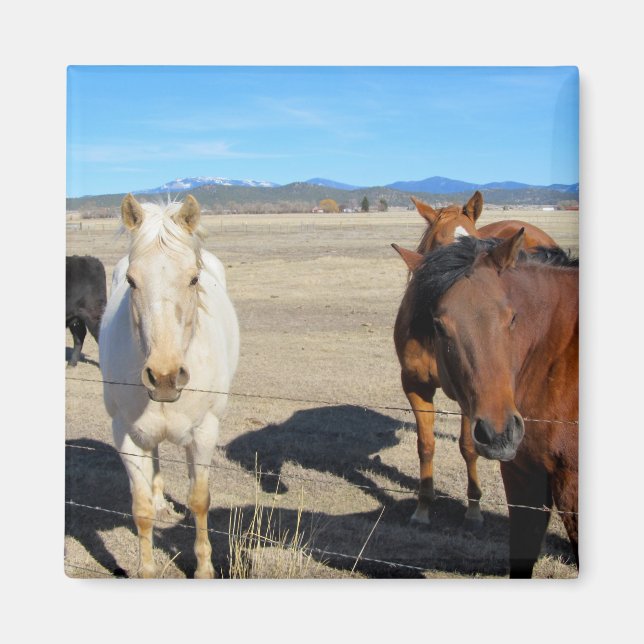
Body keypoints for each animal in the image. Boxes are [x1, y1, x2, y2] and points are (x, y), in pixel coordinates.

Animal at [98, 194, 239, 578]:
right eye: (131, 281)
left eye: (193, 279)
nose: (164, 376)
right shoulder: (125, 435)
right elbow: (141, 508)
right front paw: (146, 569)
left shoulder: (205, 432)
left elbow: (200, 500)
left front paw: (204, 569)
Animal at [393, 191, 559, 528]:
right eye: (437, 243)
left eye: (475, 239)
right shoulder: (415, 384)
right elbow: (426, 445)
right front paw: (422, 507)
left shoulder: (473, 393)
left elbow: (469, 447)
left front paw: (473, 508)